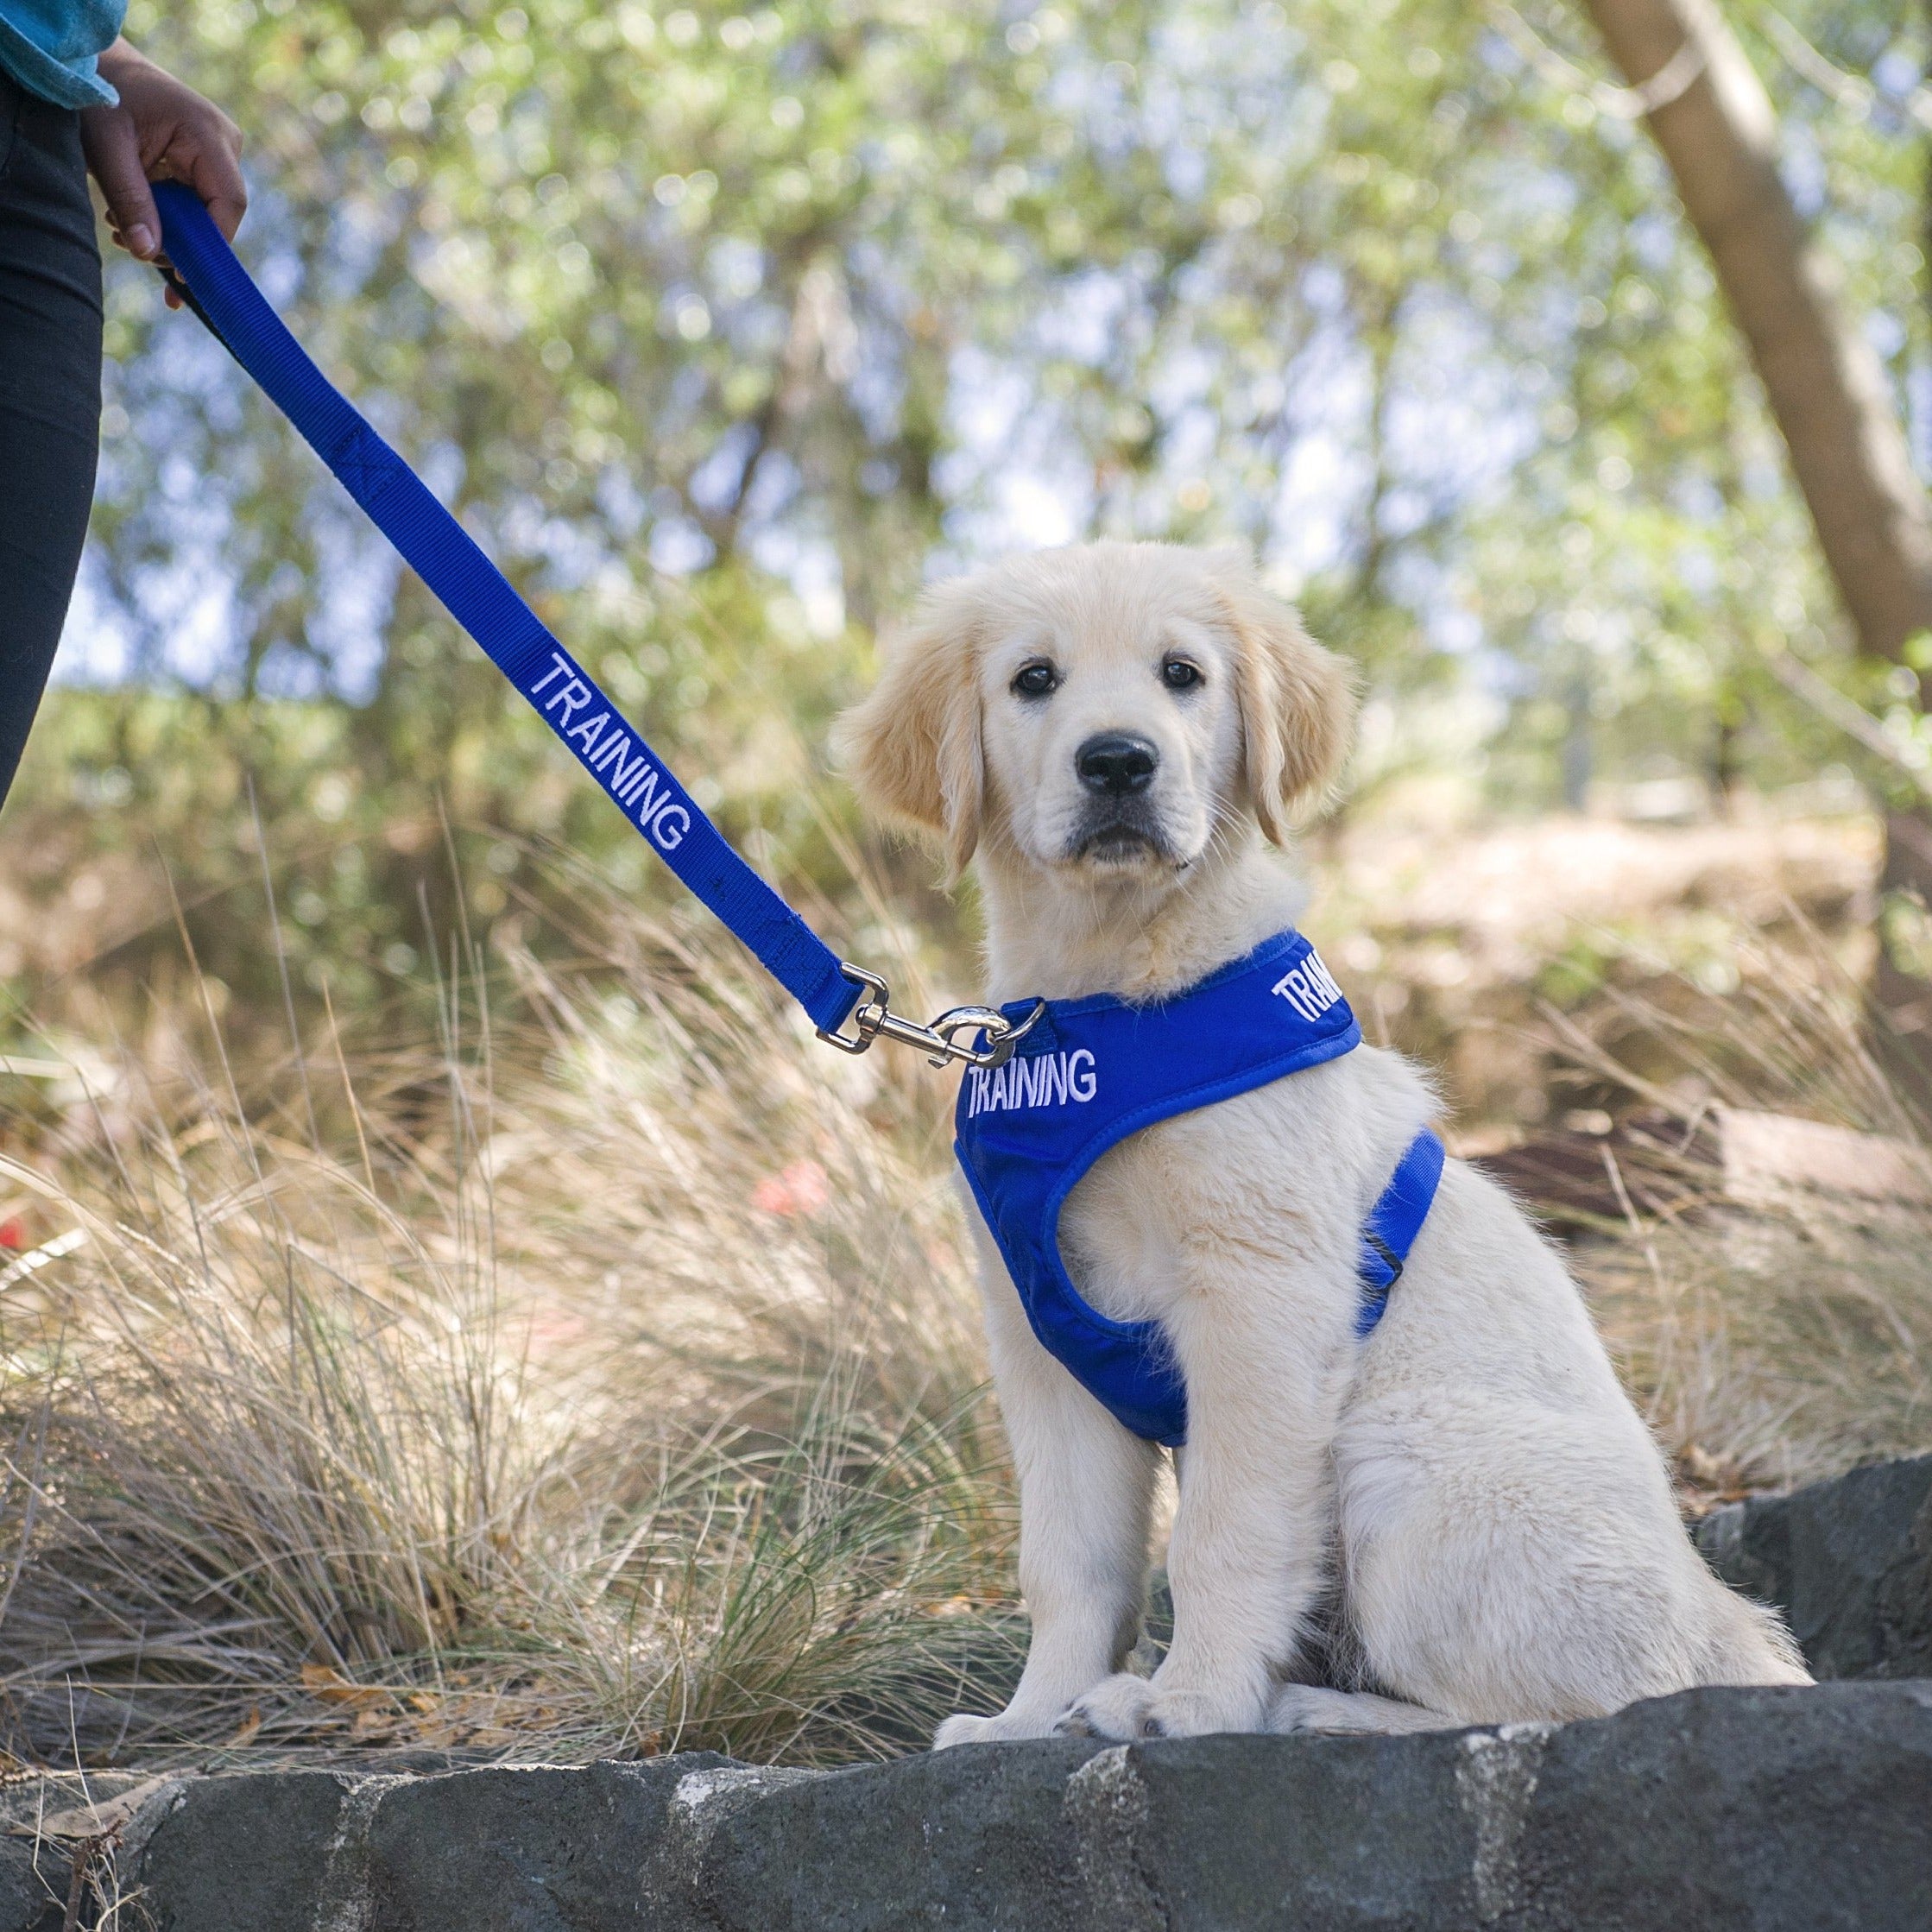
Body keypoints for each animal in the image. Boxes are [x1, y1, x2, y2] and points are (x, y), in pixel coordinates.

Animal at [834, 537, 1808, 1746]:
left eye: (1182, 675)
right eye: (1033, 681)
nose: (1118, 763)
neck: (1104, 1005)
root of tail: (1725, 1624)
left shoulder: (1260, 1299)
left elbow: (1221, 1536)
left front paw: (1194, 1704)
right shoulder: (1040, 1339)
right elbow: (1070, 1562)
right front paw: (1028, 1720)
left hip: (1397, 1457)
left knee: (1555, 1709)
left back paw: (1305, 1709)